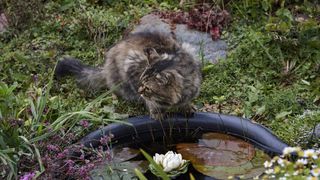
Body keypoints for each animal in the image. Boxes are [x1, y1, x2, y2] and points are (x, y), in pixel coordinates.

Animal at [53, 31, 201, 120]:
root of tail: (105, 67)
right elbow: (151, 102)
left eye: (148, 88)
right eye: (141, 82)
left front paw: (187, 106)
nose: (140, 91)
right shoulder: (132, 64)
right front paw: (156, 111)